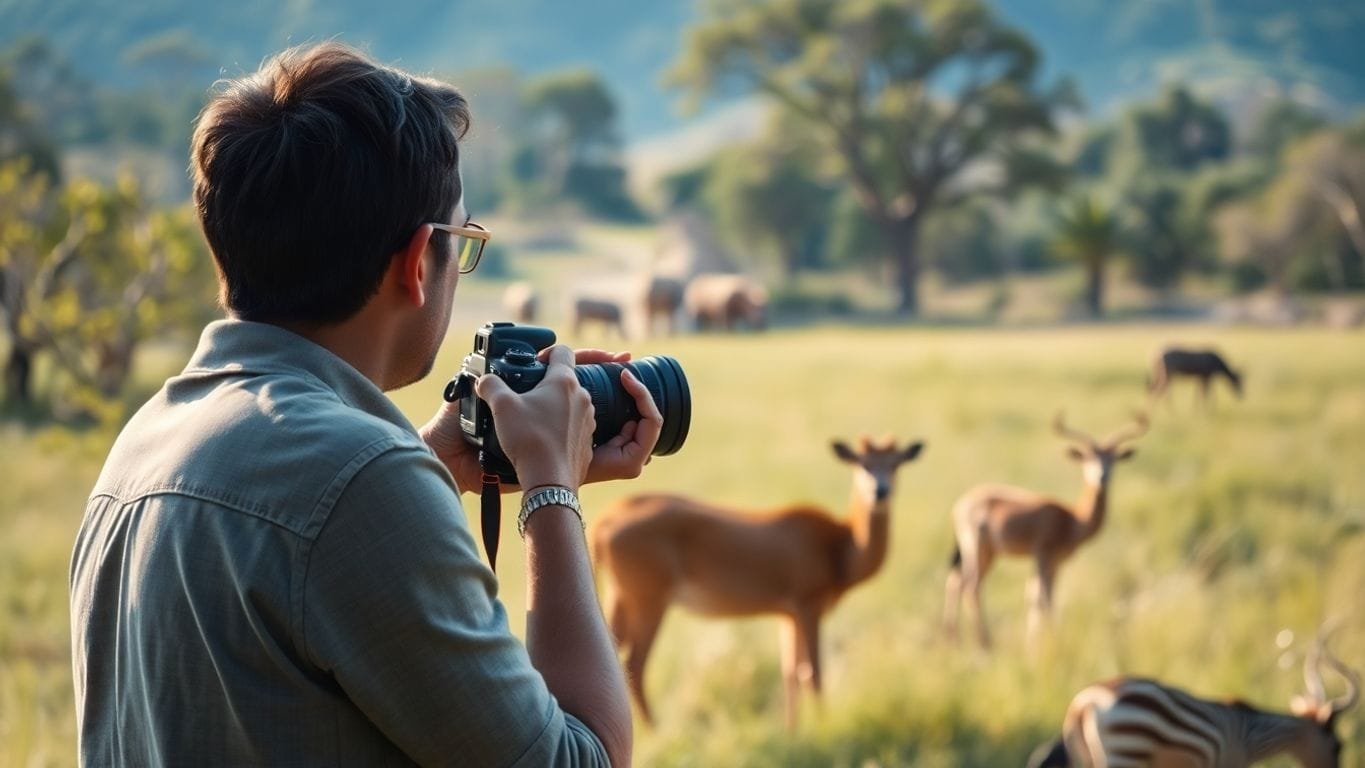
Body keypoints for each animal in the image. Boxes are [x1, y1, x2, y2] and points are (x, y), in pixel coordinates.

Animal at [592, 439, 922, 725]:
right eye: (862, 464)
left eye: (896, 464)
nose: (880, 491)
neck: (842, 547)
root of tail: (604, 522)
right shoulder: (808, 604)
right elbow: (812, 673)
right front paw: (823, 725)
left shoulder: (787, 615)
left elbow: (792, 672)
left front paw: (793, 730)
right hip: (649, 598)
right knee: (635, 664)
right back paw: (657, 730)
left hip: (621, 596)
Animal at [944, 414, 1146, 649]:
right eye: (1088, 459)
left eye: (1112, 459)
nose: (1101, 477)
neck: (1072, 519)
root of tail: (961, 503)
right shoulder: (1043, 555)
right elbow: (1043, 597)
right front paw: (1048, 642)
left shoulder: (1056, 562)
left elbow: (1040, 596)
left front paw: (1038, 641)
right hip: (978, 550)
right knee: (971, 586)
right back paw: (985, 644)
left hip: (987, 554)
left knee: (955, 582)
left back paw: (954, 640)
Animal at [1026, 630, 1359, 768]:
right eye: (1338, 745)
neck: (1251, 735)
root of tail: (1083, 703)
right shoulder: (1228, 764)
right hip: (1125, 754)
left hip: (1089, 757)